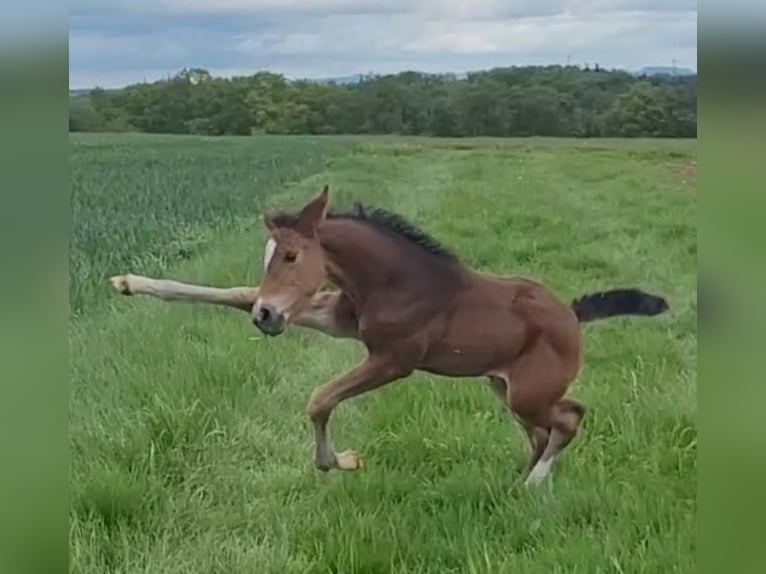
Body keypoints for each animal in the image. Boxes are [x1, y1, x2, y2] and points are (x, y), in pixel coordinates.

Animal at [110, 185, 668, 486]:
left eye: (291, 255)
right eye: (269, 258)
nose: (267, 318)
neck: (396, 280)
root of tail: (571, 315)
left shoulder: (393, 360)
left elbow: (320, 399)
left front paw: (340, 461)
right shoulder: (337, 318)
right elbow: (232, 292)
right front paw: (129, 282)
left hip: (528, 392)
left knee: (569, 418)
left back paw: (532, 484)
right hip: (504, 386)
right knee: (543, 431)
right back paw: (522, 481)